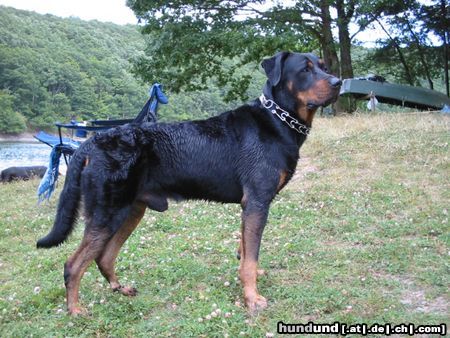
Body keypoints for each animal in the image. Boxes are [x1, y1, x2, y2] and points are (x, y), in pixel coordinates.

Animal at [37, 51, 342, 316]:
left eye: (324, 66)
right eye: (304, 70)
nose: (338, 82)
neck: (277, 120)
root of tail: (91, 143)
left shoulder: (250, 206)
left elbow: (245, 253)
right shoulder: (257, 201)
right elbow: (250, 258)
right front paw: (252, 299)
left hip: (131, 210)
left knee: (104, 257)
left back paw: (119, 289)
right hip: (108, 212)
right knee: (74, 264)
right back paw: (75, 310)